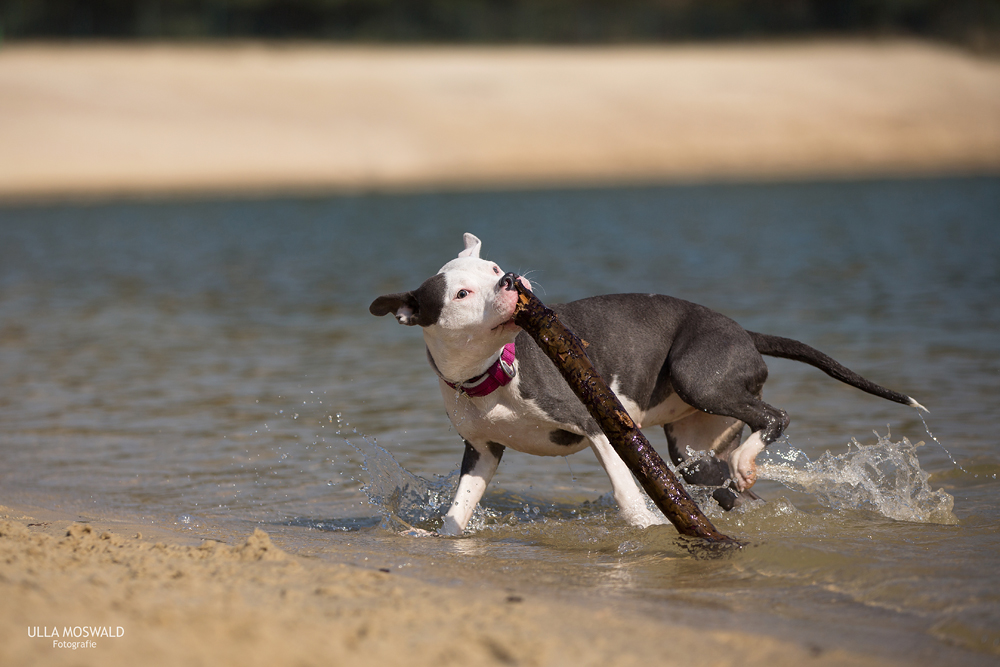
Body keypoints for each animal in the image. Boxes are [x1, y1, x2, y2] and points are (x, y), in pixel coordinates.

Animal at [372, 232, 924, 536]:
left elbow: (625, 491)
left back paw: (747, 462)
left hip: (700, 377)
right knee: (730, 481)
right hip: (697, 451)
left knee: (775, 417)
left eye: (493, 268)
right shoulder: (483, 452)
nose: (510, 279)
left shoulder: (597, 425)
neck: (489, 372)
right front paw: (444, 540)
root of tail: (744, 331)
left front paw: (646, 529)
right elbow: (458, 510)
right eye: (463, 293)